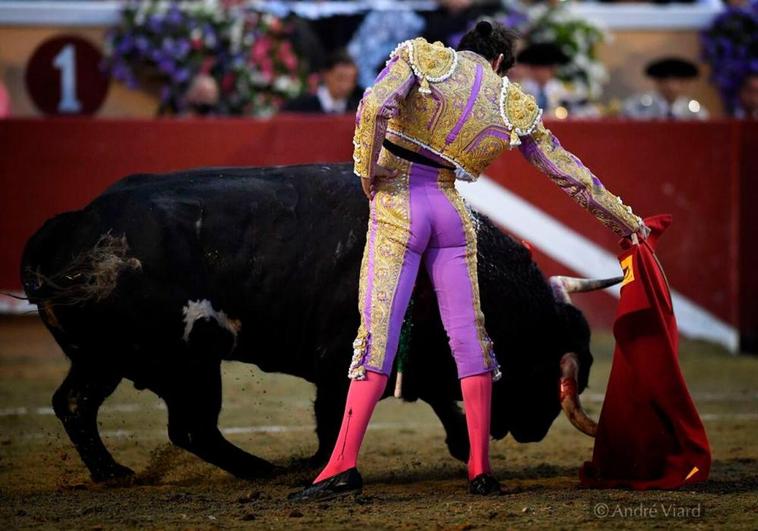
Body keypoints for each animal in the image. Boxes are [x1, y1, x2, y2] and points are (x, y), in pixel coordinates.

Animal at [20, 164, 604, 484]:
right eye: (543, 369)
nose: (535, 430)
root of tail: (72, 225)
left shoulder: (414, 352)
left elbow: (435, 394)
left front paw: (462, 446)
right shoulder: (341, 358)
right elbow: (337, 414)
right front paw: (325, 463)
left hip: (105, 357)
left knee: (75, 403)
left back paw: (111, 473)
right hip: (186, 363)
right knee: (189, 426)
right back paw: (262, 469)